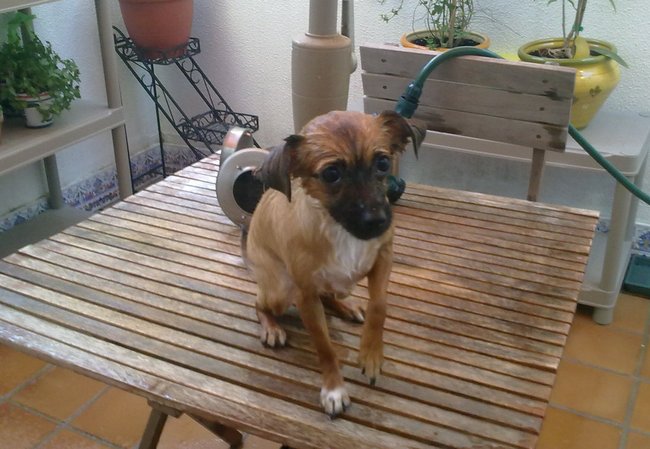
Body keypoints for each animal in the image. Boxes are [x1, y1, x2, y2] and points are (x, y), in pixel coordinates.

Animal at [243, 110, 425, 417]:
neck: (339, 229)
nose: (377, 221)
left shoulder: (383, 258)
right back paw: (271, 327)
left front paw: (371, 355)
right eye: (331, 174)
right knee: (259, 304)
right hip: (280, 291)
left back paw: (347, 307)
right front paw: (334, 390)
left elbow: (380, 305)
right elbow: (325, 348)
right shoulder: (305, 296)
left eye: (383, 162)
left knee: (330, 294)